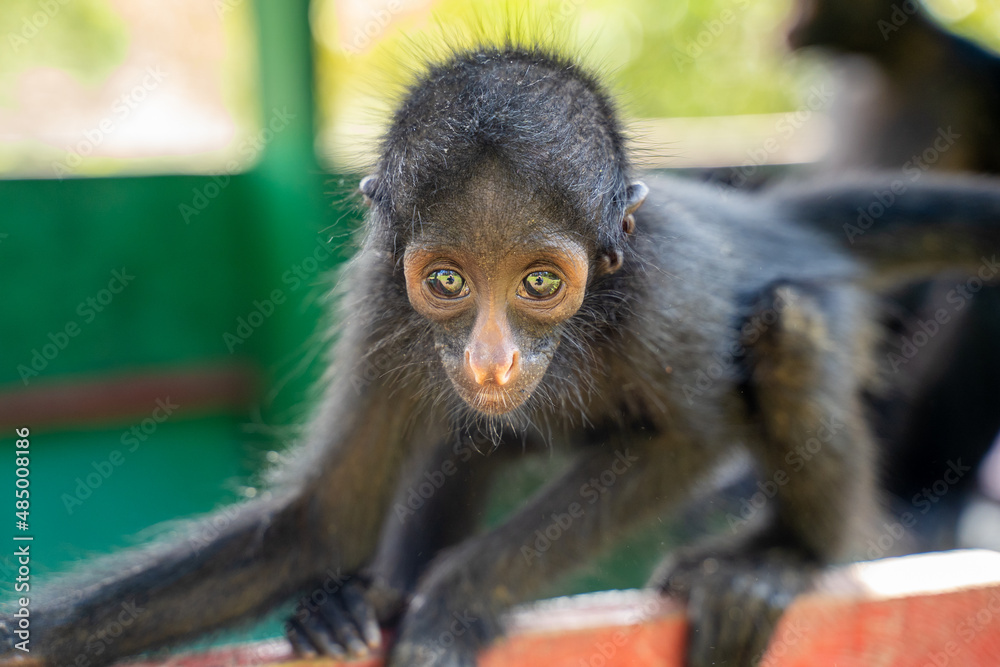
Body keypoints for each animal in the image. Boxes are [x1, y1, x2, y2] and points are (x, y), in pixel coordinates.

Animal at [4, 44, 1000, 667]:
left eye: (540, 282)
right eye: (446, 281)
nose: (491, 359)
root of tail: (772, 224)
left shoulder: (658, 293)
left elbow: (685, 440)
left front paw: (452, 601)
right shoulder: (379, 304)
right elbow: (318, 523)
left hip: (810, 301)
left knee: (788, 324)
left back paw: (782, 559)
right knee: (463, 437)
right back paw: (357, 602)